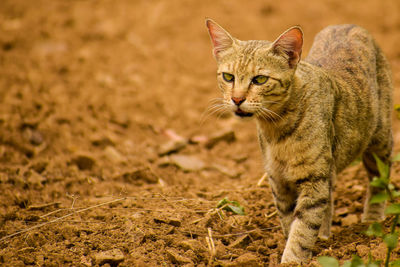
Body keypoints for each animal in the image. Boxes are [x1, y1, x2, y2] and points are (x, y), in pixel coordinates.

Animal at [205, 18, 392, 264]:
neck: (277, 130)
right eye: (228, 77)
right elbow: (289, 221)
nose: (236, 99)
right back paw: (325, 236)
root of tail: (347, 24)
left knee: (380, 180)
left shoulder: (313, 179)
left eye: (260, 79)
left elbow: (303, 228)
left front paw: (292, 259)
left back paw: (372, 221)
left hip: (379, 141)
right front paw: (297, 245)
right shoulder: (278, 180)